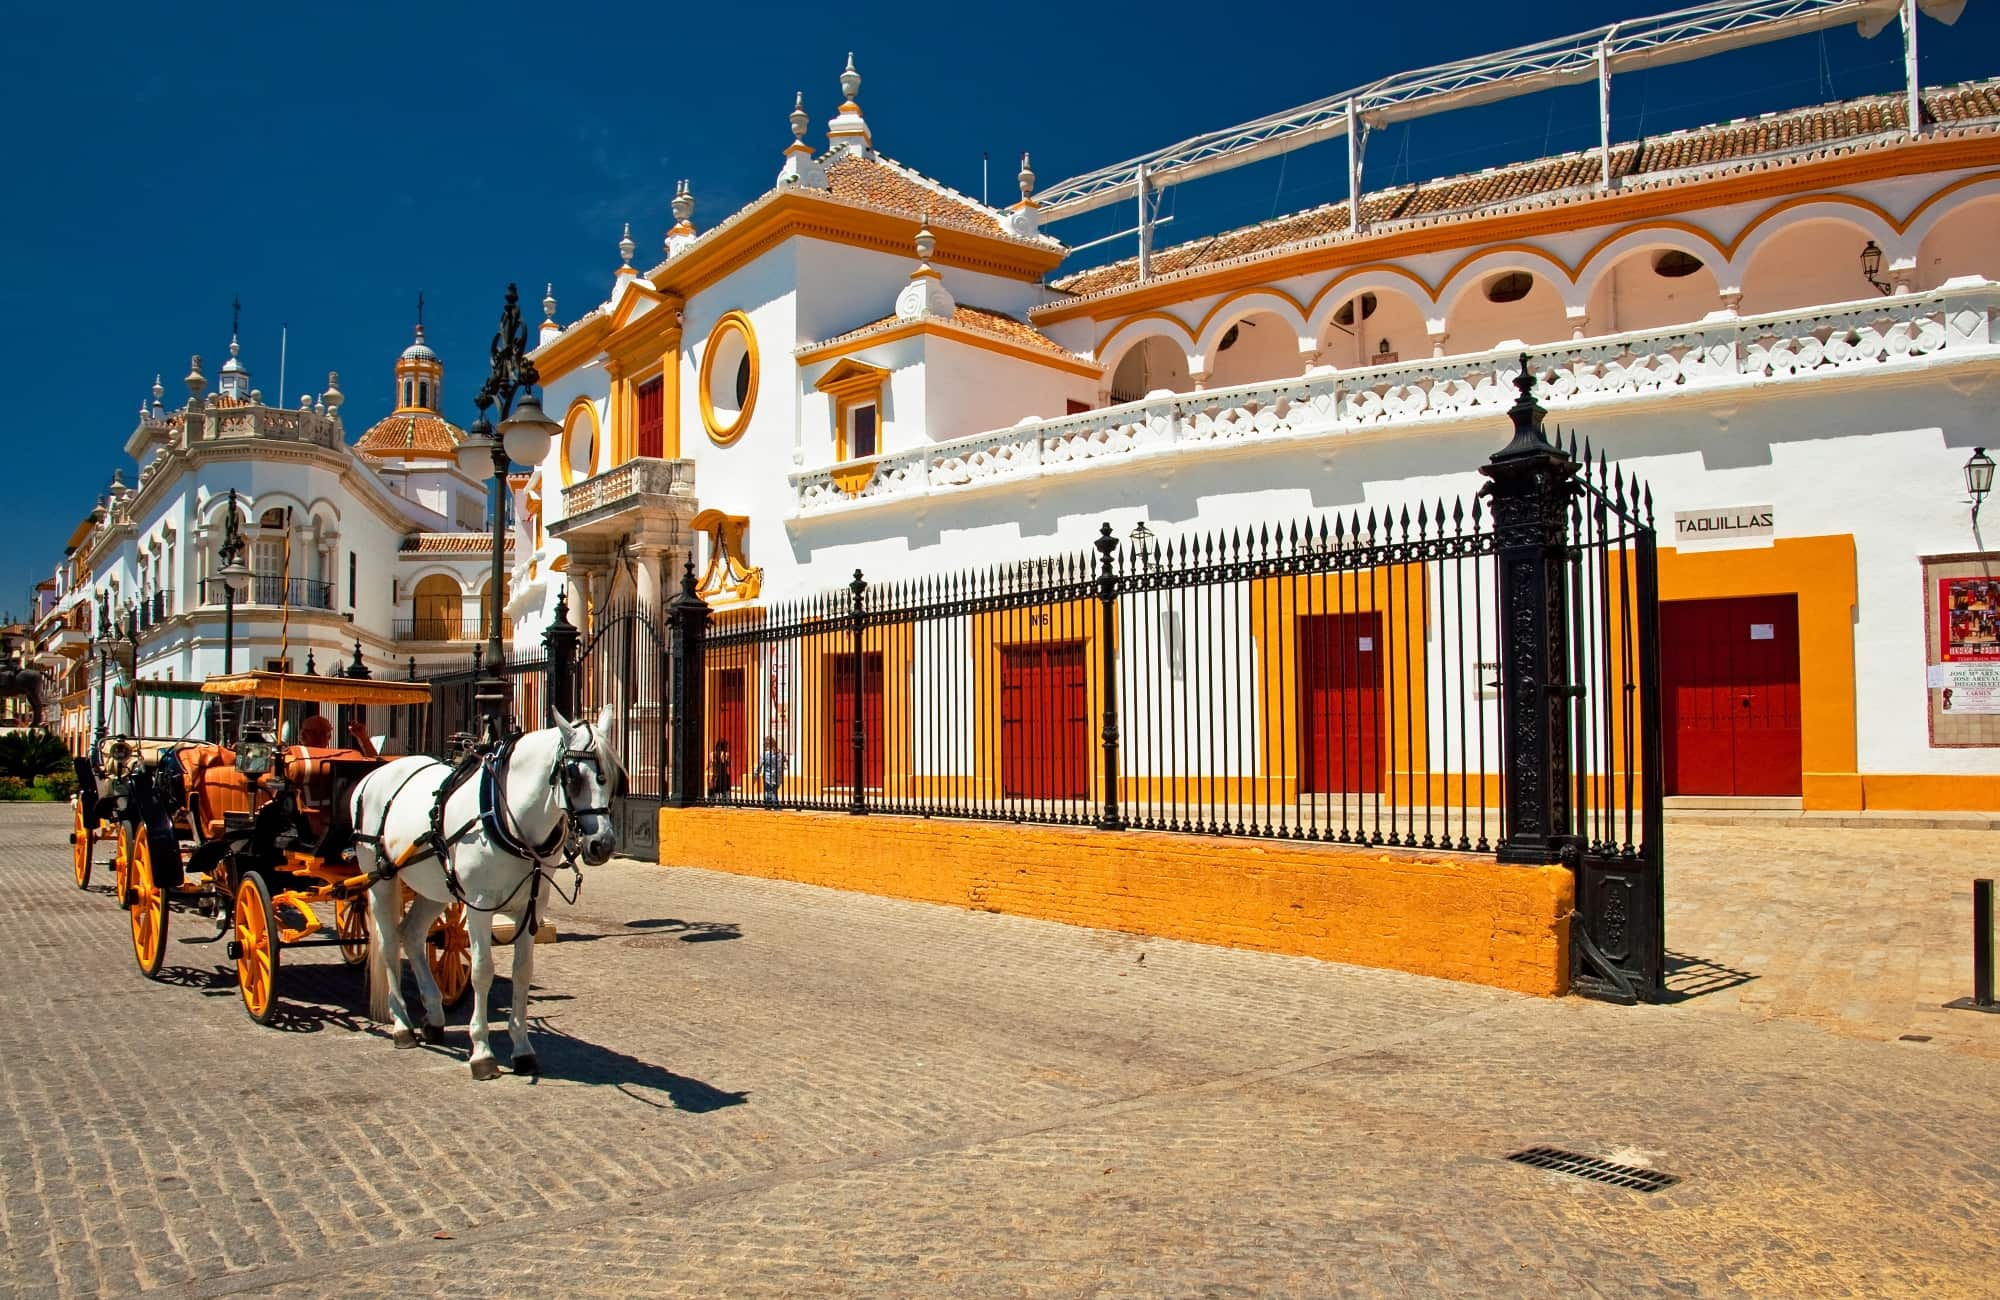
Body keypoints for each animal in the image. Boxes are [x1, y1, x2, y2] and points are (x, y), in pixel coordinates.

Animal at [350, 704, 616, 1080]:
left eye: (611, 774)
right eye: (572, 775)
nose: (601, 845)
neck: (508, 815)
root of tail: (375, 774)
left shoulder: (531, 906)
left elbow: (523, 971)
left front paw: (522, 1048)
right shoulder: (478, 905)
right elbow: (481, 971)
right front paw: (482, 1051)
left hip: (435, 887)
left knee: (412, 934)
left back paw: (434, 1016)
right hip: (381, 879)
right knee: (388, 944)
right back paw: (402, 1025)